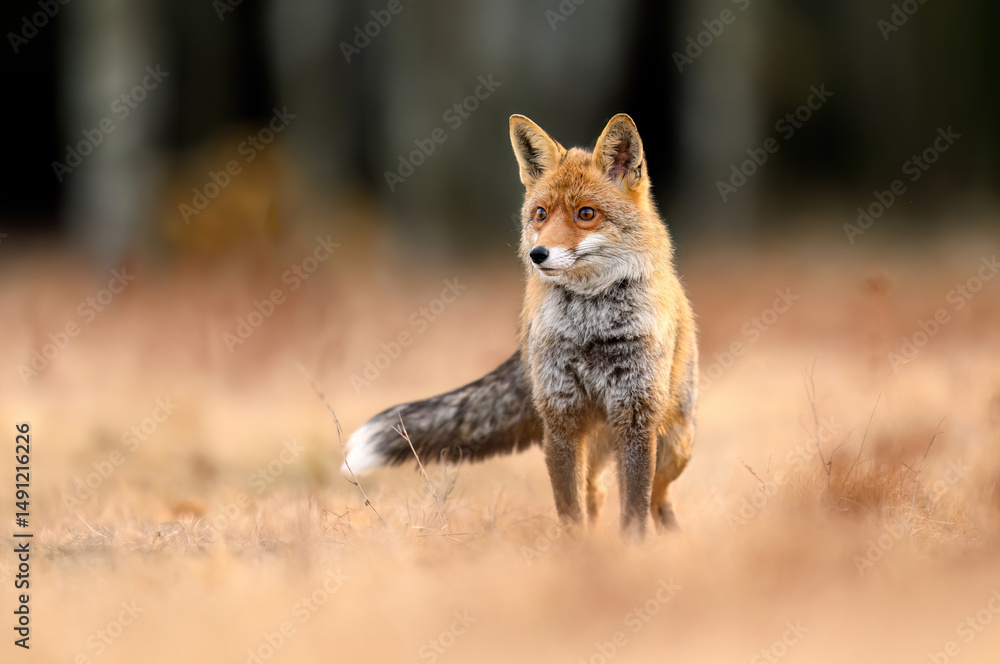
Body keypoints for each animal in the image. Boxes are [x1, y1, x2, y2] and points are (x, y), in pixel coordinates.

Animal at [342, 113, 698, 538]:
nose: (537, 254)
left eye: (586, 214)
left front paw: (633, 550)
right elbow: (571, 511)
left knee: (659, 495)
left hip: (675, 444)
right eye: (541, 214)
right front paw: (579, 551)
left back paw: (673, 538)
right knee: (597, 494)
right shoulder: (560, 417)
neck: (590, 328)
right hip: (597, 441)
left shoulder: (635, 416)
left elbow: (635, 513)